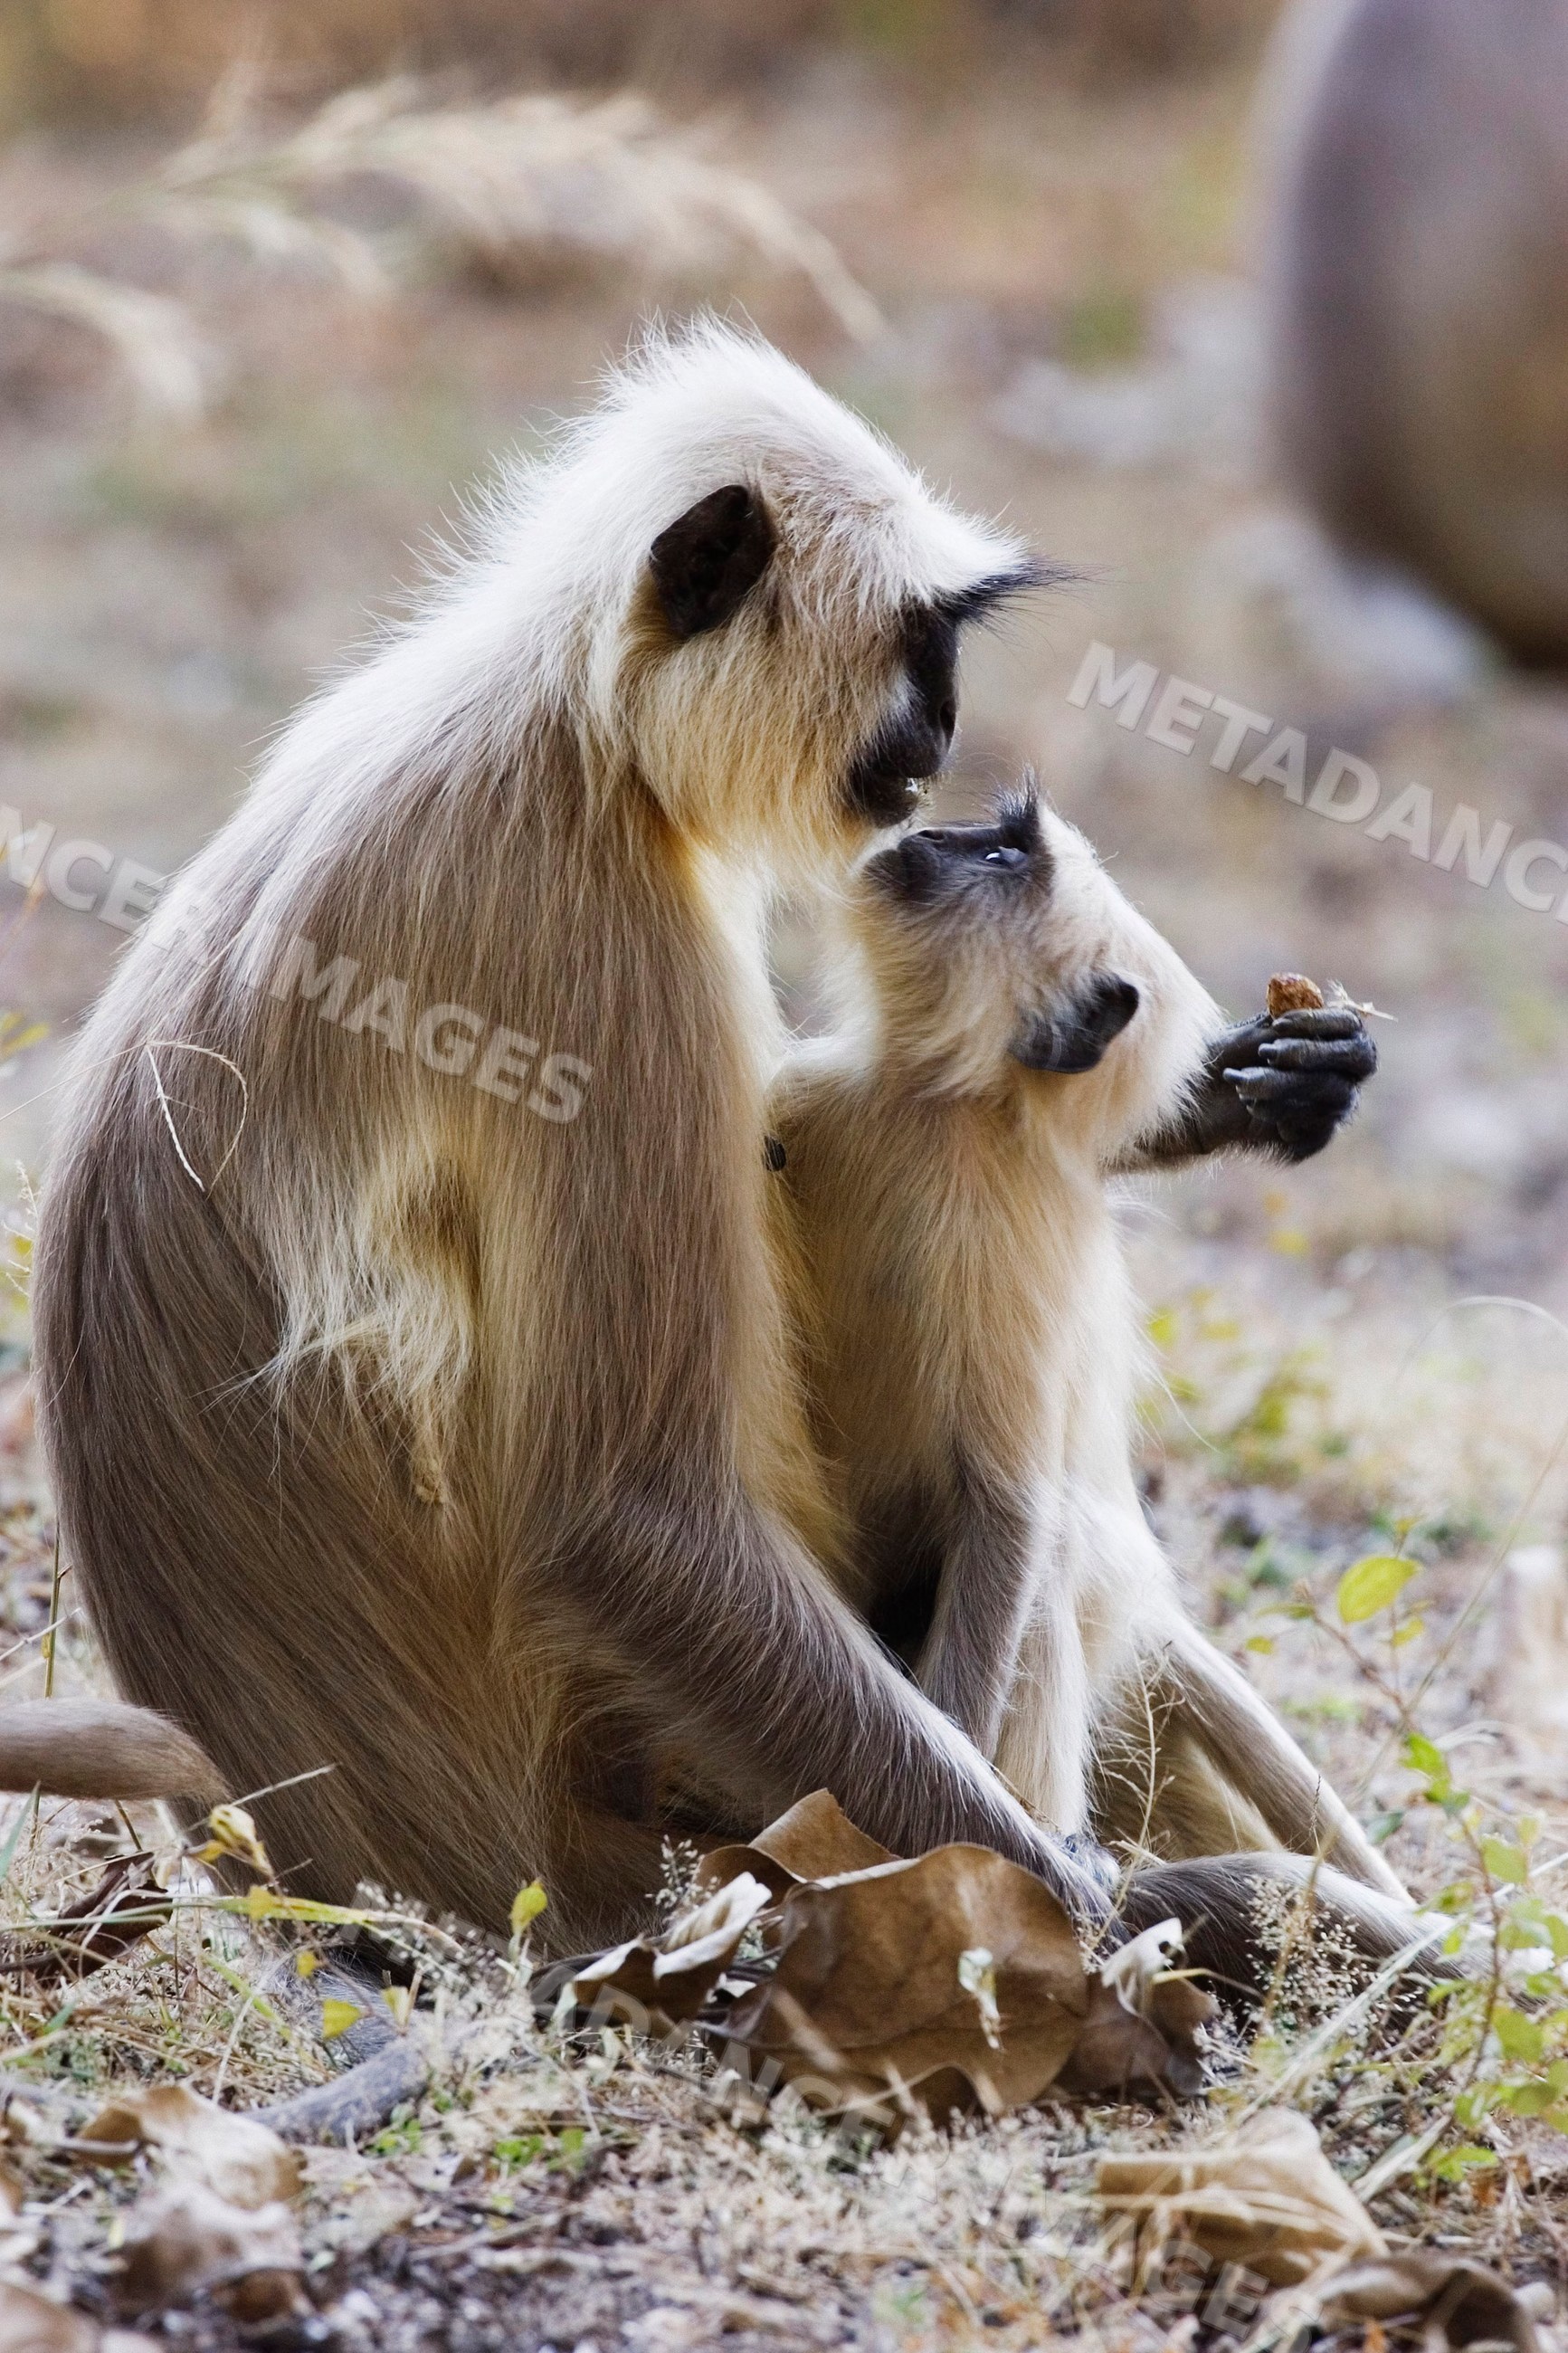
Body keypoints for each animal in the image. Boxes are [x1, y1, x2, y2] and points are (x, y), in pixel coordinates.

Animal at [766, 783, 1405, 1902]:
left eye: (1001, 855)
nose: (930, 834)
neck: (937, 1108)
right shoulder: (820, 1100)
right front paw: (1283, 1084)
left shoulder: (1003, 1230)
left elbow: (1009, 1507)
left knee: (1052, 1547)